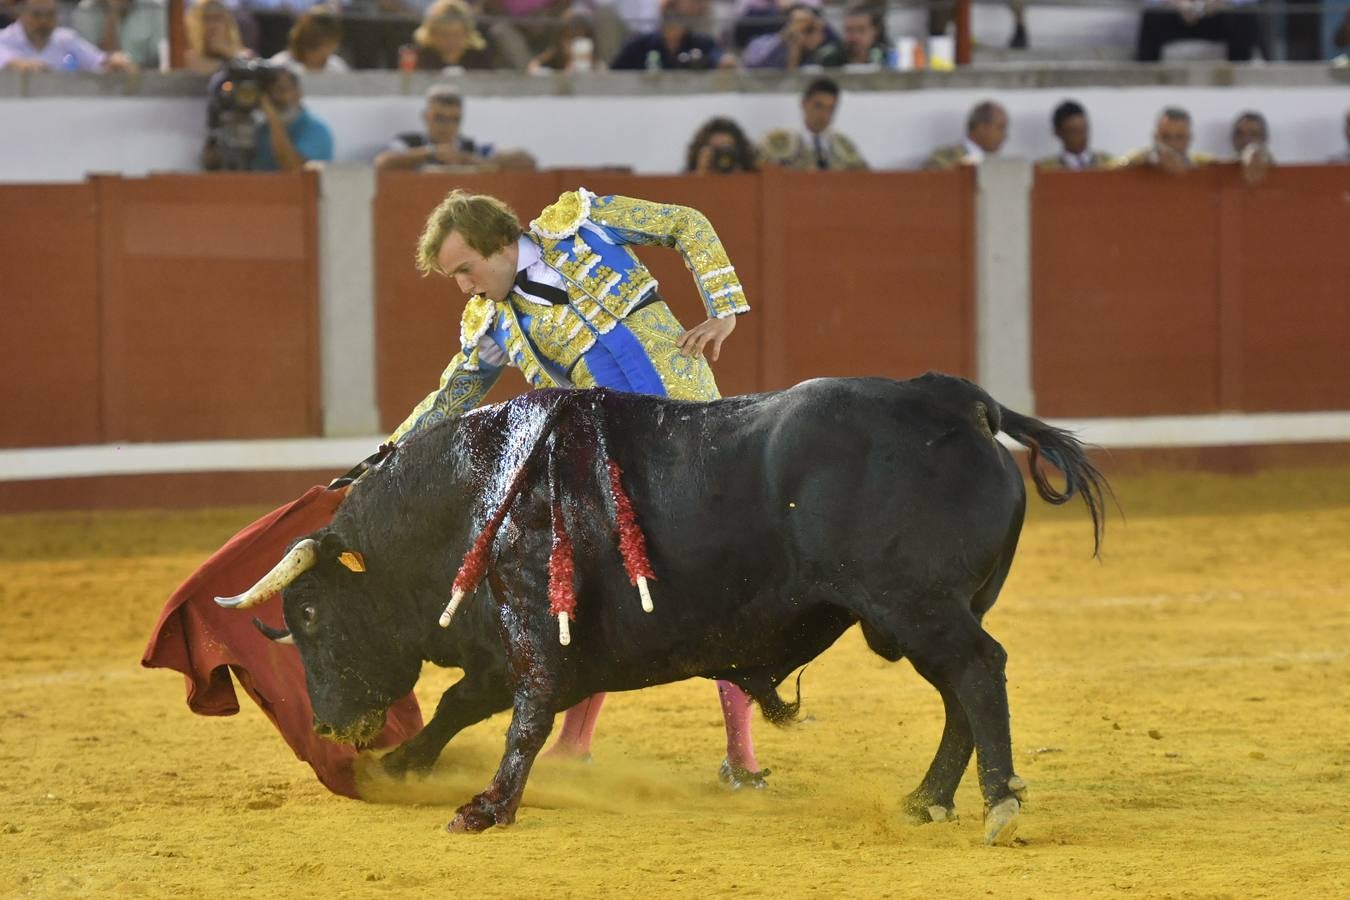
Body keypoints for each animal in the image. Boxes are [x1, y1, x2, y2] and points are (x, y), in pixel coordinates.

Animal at [218, 372, 1107, 847]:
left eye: (310, 615)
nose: (330, 726)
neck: (473, 496)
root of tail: (957, 402)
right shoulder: (517, 649)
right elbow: (461, 704)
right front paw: (405, 765)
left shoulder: (536, 637)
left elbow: (521, 719)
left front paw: (485, 808)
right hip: (922, 614)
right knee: (959, 690)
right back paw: (929, 799)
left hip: (918, 605)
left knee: (978, 671)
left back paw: (998, 803)